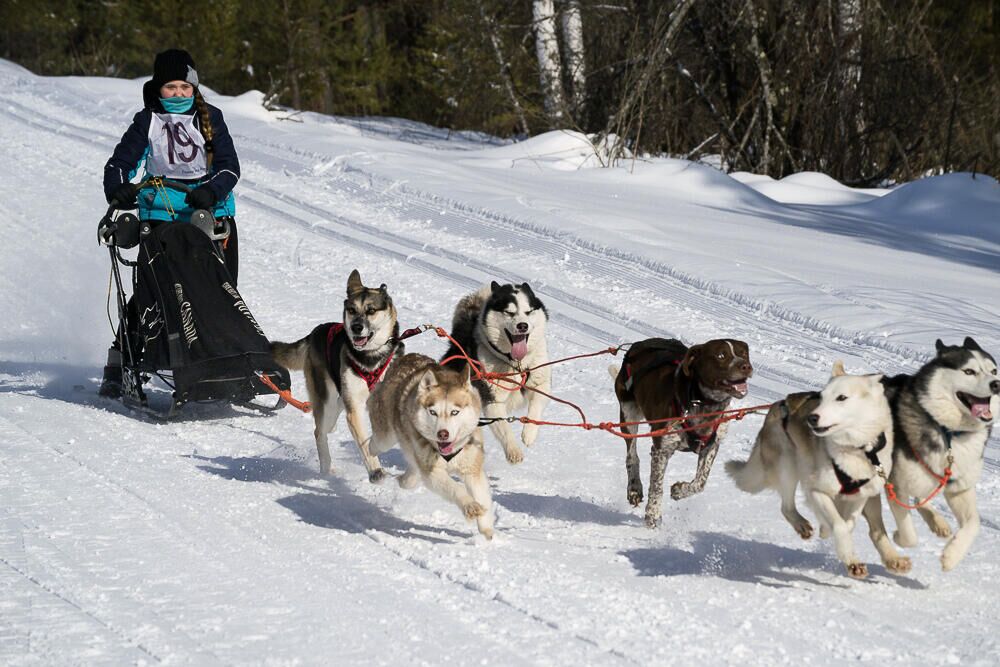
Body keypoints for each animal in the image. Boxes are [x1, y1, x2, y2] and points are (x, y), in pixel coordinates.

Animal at [608, 340, 752, 528]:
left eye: (744, 353)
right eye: (721, 355)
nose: (746, 366)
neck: (705, 406)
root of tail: (638, 345)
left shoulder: (711, 446)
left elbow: (700, 483)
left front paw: (679, 490)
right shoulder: (661, 450)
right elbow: (657, 486)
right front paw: (653, 515)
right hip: (628, 416)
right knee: (632, 456)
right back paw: (634, 488)